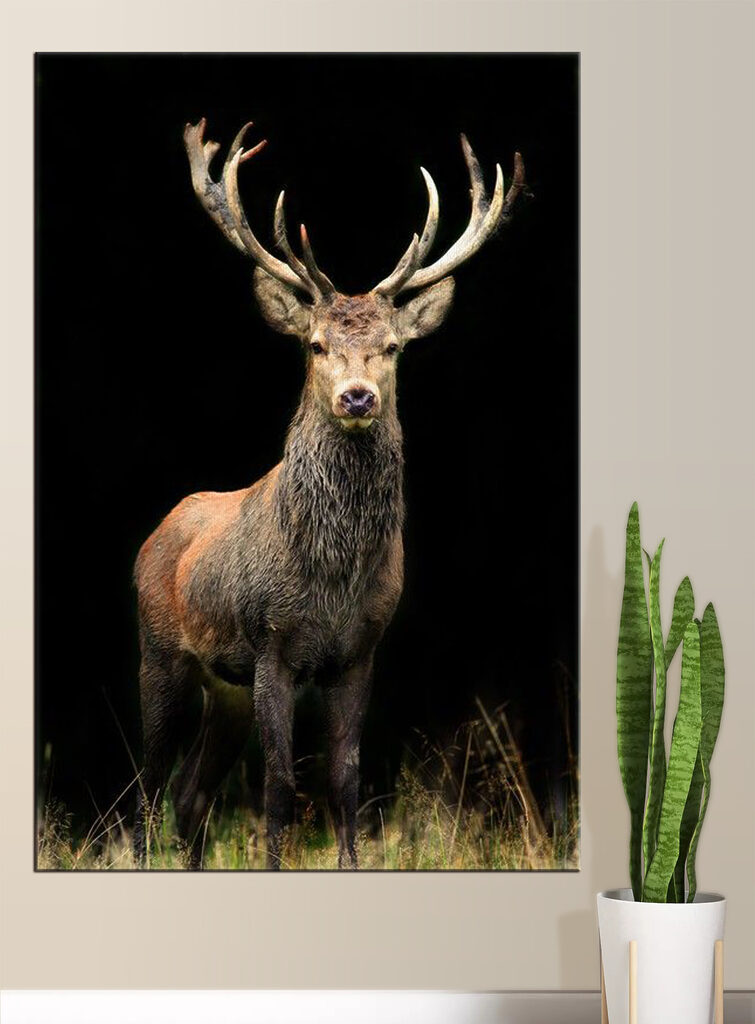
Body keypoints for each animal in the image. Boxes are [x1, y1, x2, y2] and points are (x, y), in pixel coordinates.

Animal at [132, 116, 525, 870]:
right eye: (315, 344)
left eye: (394, 347)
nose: (357, 396)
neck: (332, 577)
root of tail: (154, 534)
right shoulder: (271, 644)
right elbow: (281, 784)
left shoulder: (361, 650)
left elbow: (346, 779)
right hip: (161, 651)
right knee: (147, 781)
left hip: (223, 686)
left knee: (189, 794)